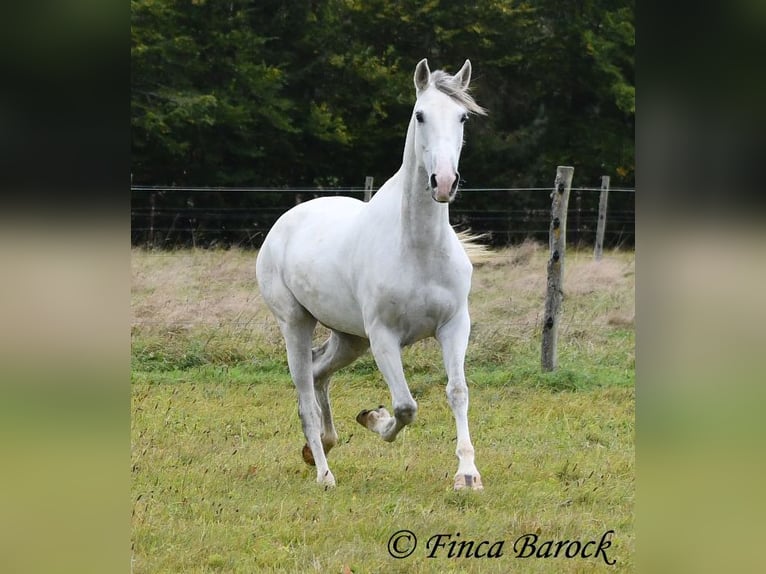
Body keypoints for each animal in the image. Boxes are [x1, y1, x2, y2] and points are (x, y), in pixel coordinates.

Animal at [256, 57, 486, 490]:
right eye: (420, 115)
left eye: (463, 117)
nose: (444, 182)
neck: (417, 249)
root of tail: (285, 221)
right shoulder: (383, 337)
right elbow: (405, 406)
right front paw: (374, 418)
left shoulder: (454, 326)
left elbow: (458, 391)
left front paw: (467, 475)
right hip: (296, 323)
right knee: (305, 395)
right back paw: (324, 473)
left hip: (350, 338)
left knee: (318, 372)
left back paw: (319, 447)